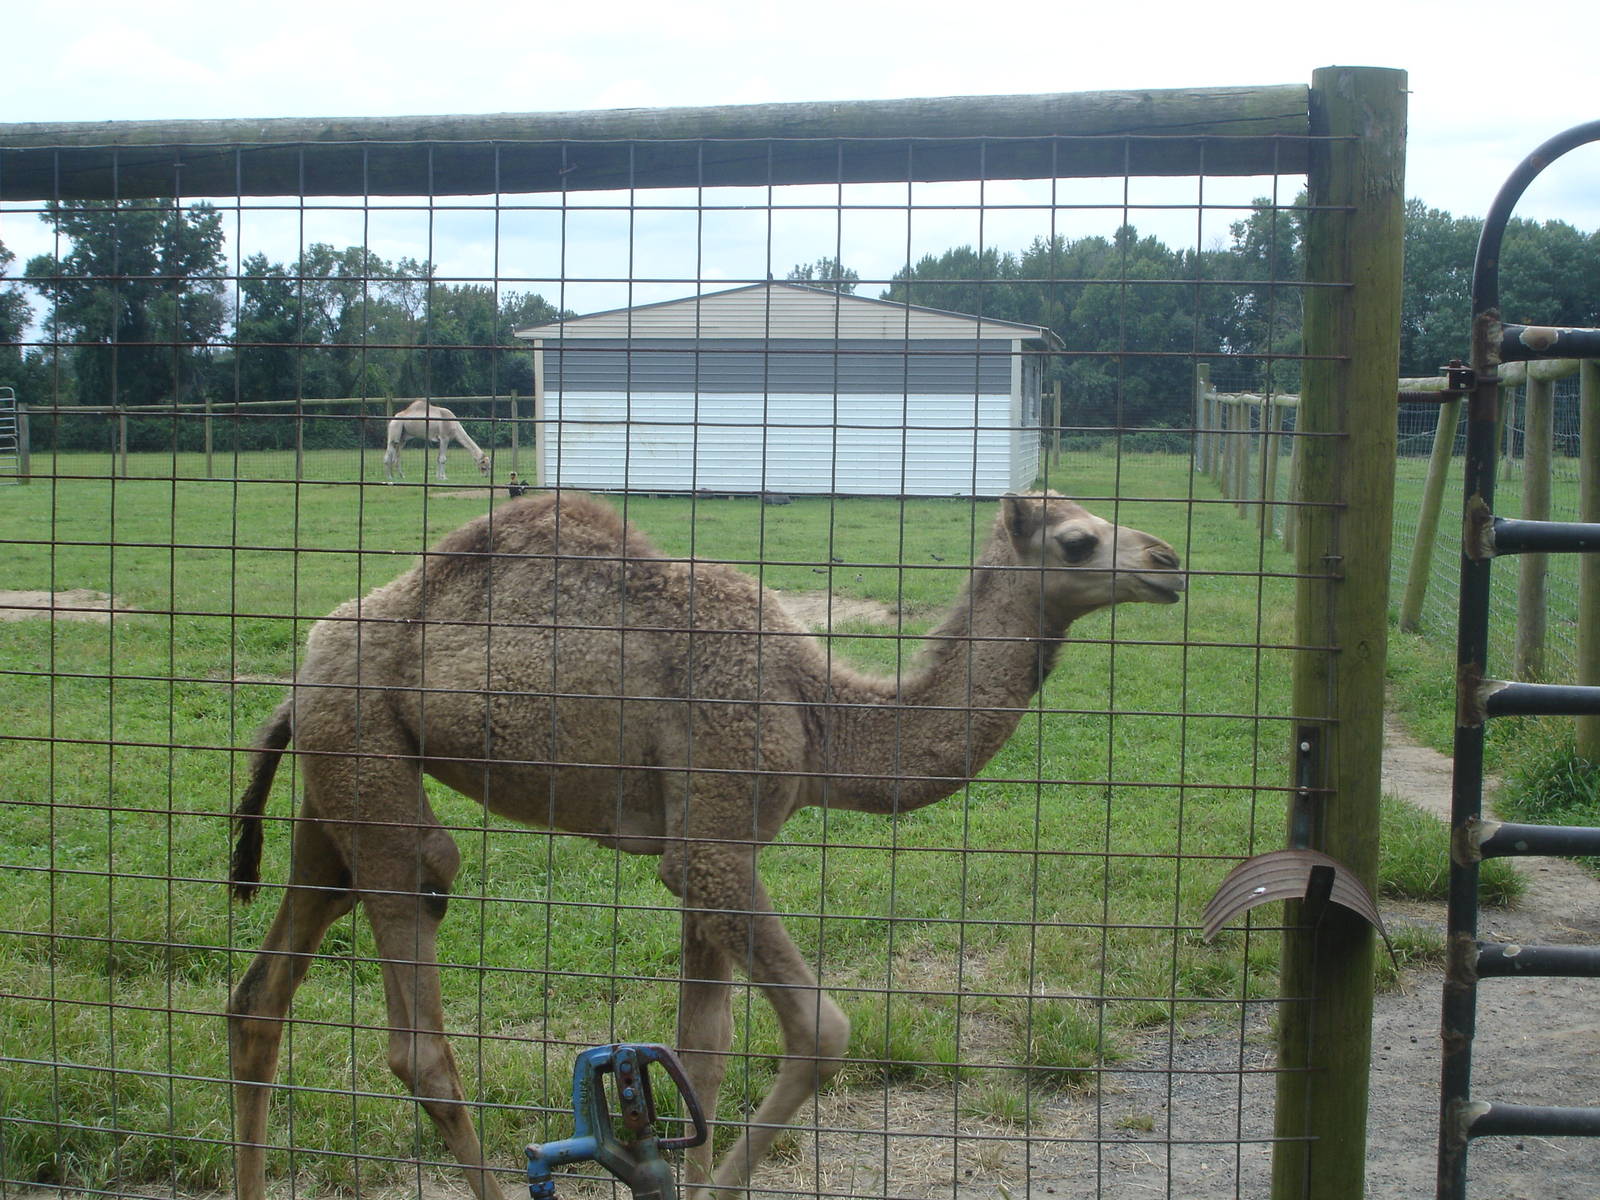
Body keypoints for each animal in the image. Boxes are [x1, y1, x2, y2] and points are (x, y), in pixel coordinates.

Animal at [225, 488, 1184, 1200]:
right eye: (1078, 540)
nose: (1168, 561)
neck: (817, 710)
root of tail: (301, 671)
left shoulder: (706, 846)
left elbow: (704, 1052)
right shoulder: (717, 841)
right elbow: (822, 1032)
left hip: (335, 776)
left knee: (259, 998)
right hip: (367, 756)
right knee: (419, 1020)